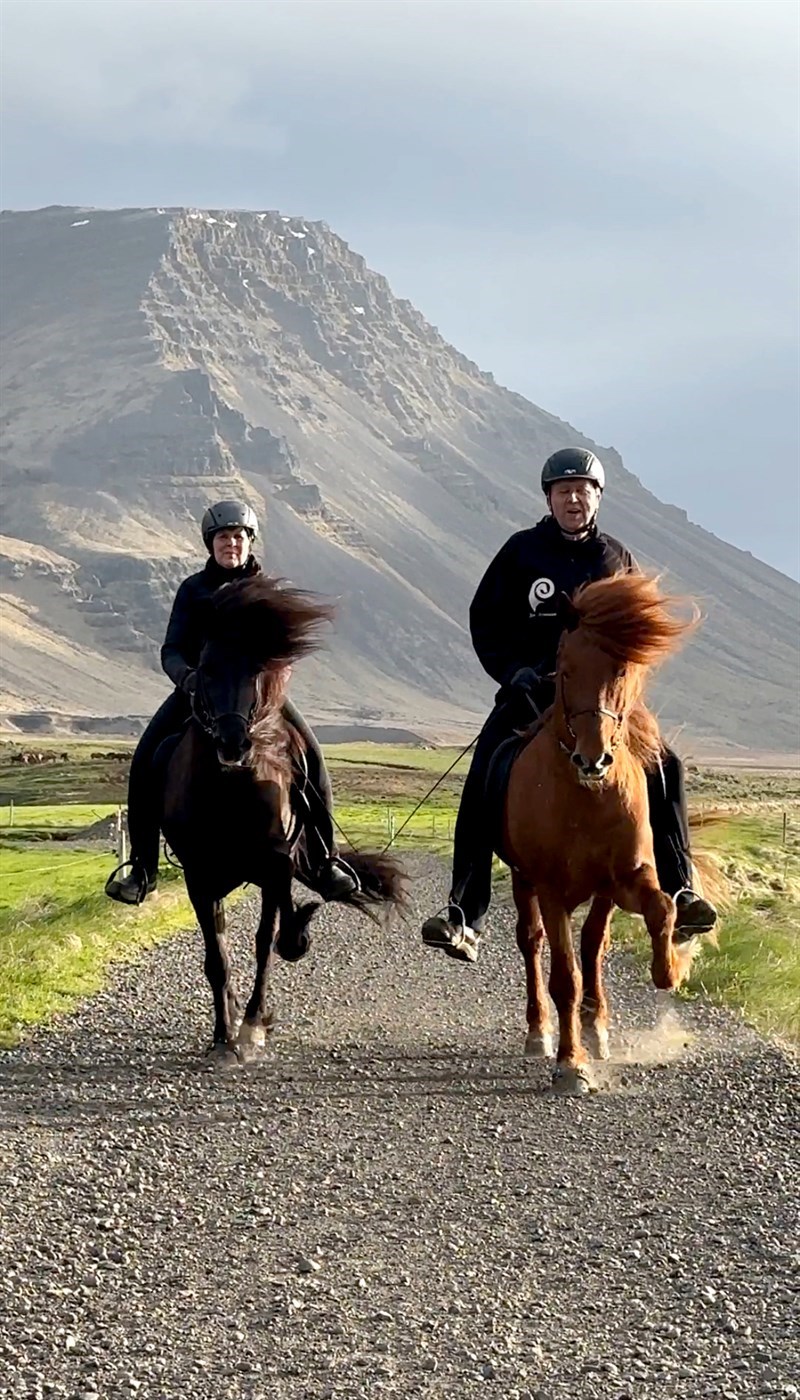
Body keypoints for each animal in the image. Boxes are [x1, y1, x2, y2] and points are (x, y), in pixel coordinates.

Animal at [163, 574, 409, 1064]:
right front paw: (224, 1036)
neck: (230, 793)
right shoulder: (199, 877)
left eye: (257, 669)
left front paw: (254, 1026)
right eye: (205, 669)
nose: (234, 743)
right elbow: (217, 957)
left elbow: (267, 944)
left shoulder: (275, 868)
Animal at [504, 574, 703, 1097]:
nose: (592, 760)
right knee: (531, 943)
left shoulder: (624, 877)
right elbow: (565, 977)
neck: (585, 798)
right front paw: (570, 1064)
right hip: (522, 882)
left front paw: (670, 970)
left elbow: (660, 909)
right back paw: (539, 1032)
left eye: (620, 670)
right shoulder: (550, 888)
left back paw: (598, 1027)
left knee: (596, 944)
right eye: (564, 670)